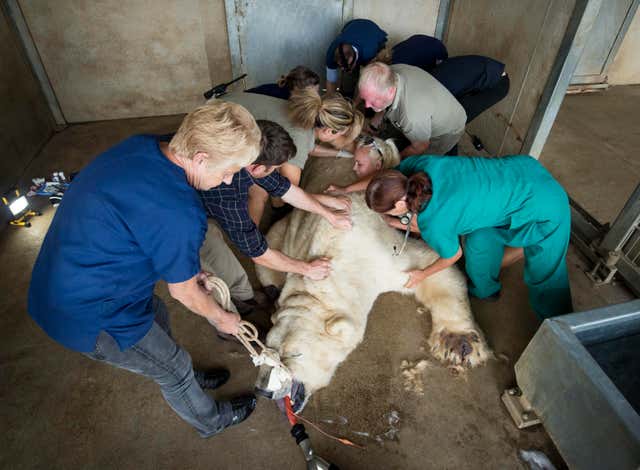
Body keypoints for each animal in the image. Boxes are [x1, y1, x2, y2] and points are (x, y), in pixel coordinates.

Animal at [255, 193, 490, 398]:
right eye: (266, 352)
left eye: (294, 354)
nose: (262, 391)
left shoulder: (383, 255)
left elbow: (430, 266)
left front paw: (459, 344)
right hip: (280, 237)